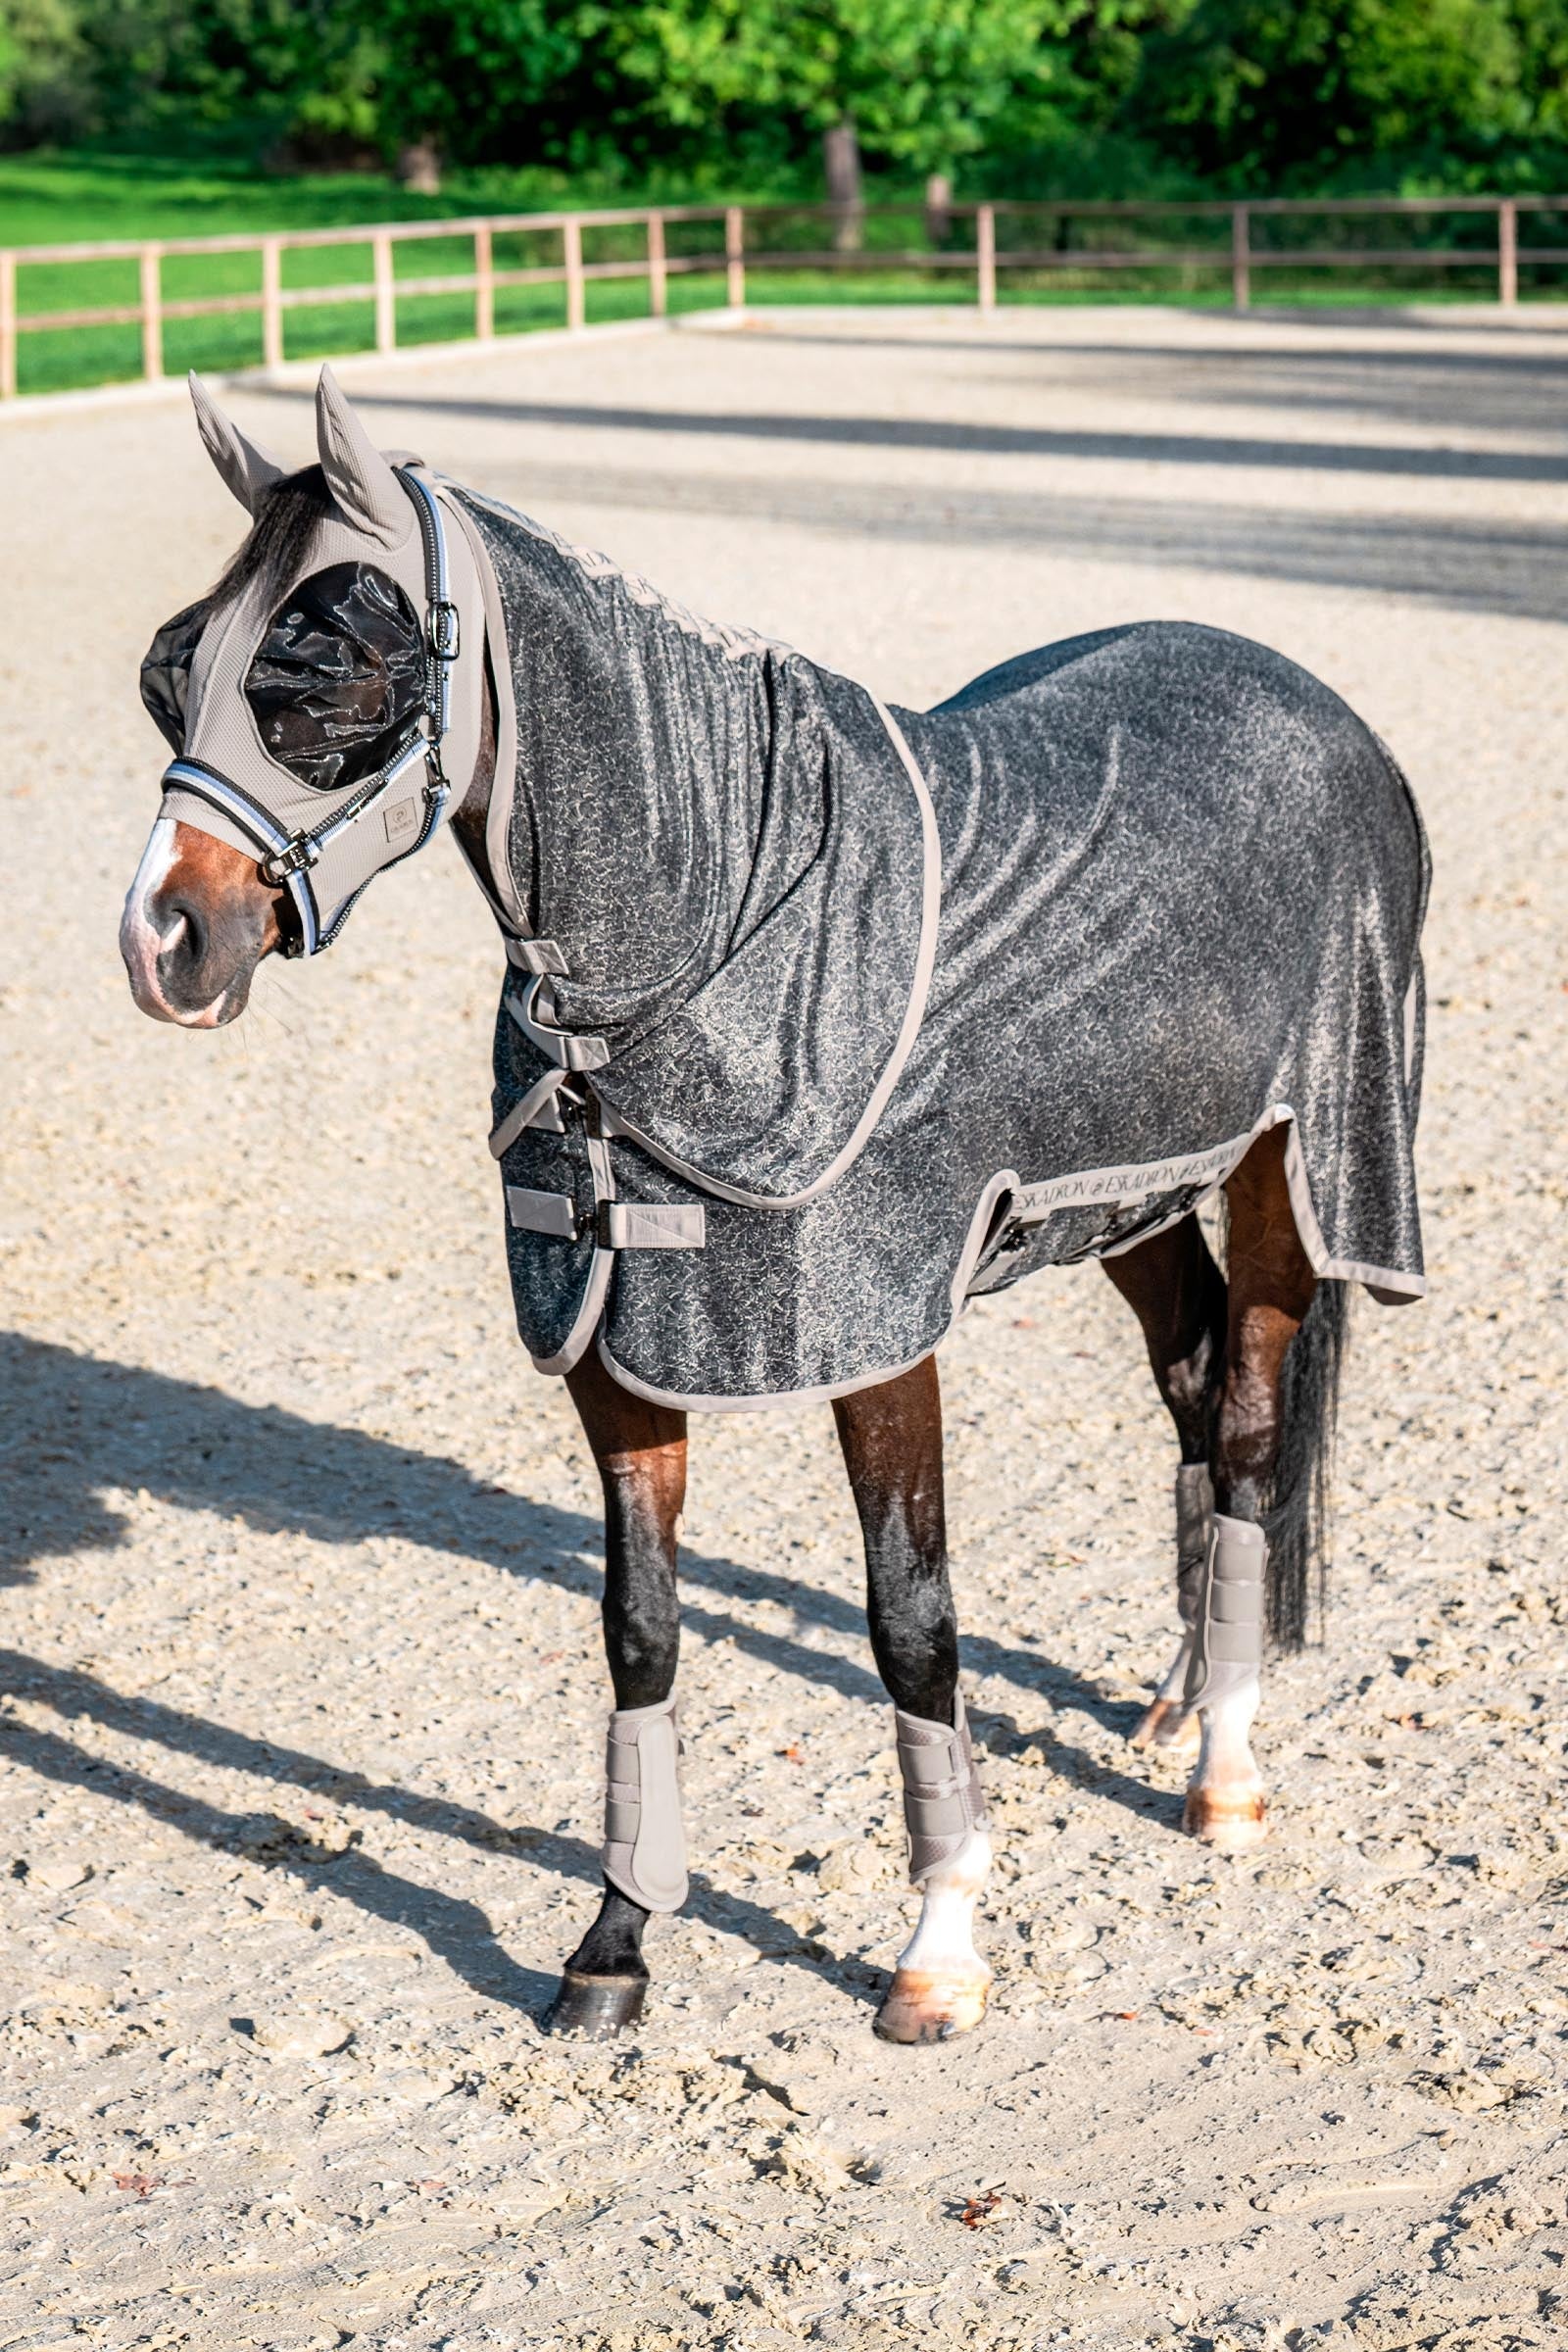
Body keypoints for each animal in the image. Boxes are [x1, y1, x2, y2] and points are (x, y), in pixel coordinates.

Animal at [121, 368, 1429, 2045]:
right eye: (172, 676)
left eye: (329, 679)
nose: (165, 940)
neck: (721, 933)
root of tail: (1309, 698)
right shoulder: (611, 1352)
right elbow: (640, 1627)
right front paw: (615, 1944)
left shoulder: (879, 1345)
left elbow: (911, 1621)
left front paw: (940, 1944)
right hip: (1126, 1197)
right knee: (1196, 1380)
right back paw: (1179, 1698)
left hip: (1295, 1173)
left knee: (1256, 1426)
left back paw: (1228, 1770)